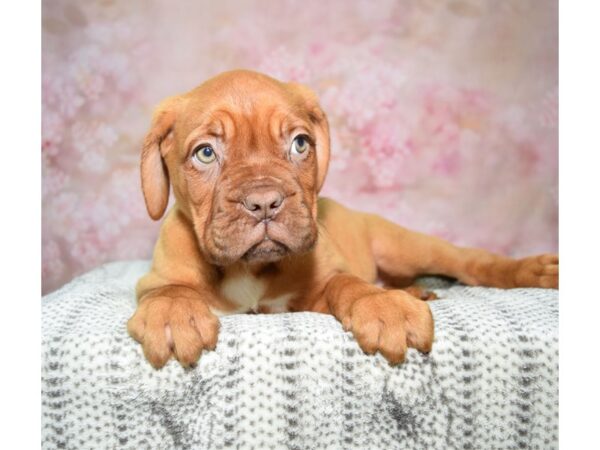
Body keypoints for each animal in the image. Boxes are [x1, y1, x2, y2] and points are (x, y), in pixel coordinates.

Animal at [129, 68, 560, 368]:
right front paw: (174, 313)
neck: (249, 270)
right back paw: (414, 292)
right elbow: (168, 290)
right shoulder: (154, 279)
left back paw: (532, 270)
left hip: (405, 247)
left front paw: (381, 306)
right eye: (205, 153)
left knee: (470, 261)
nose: (265, 202)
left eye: (300, 144)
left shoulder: (318, 291)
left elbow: (349, 284)